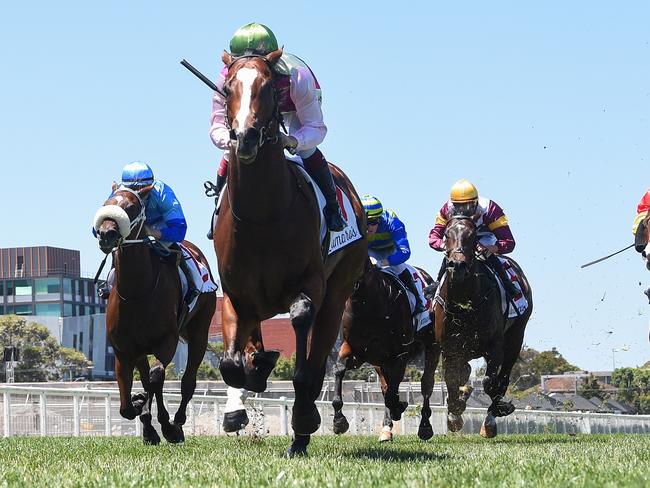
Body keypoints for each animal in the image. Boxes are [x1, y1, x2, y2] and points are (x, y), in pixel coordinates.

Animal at [93, 185, 215, 444]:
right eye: (106, 203)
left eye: (132, 207)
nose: (106, 234)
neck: (137, 291)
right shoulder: (124, 349)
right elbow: (127, 405)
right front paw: (143, 414)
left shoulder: (167, 341)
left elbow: (157, 377)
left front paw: (166, 426)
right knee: (148, 380)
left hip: (200, 332)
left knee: (187, 382)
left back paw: (176, 422)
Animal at [213, 47, 364, 456]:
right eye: (227, 88)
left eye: (267, 88)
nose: (245, 137)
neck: (262, 216)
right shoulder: (235, 293)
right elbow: (231, 363)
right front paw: (245, 393)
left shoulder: (310, 284)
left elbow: (302, 345)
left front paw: (304, 420)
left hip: (338, 294)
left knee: (318, 357)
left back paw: (305, 426)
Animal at [332, 264, 438, 442]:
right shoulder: (356, 352)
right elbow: (339, 369)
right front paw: (339, 421)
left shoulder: (400, 355)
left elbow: (391, 395)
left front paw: (399, 407)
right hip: (379, 362)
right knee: (385, 387)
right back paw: (387, 428)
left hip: (432, 345)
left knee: (426, 384)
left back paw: (425, 427)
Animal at [436, 215, 532, 436]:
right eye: (446, 234)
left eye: (473, 236)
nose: (457, 265)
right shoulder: (449, 347)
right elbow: (451, 379)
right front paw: (455, 414)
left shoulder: (495, 346)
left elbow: (490, 383)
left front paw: (498, 411)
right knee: (465, 371)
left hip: (515, 338)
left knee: (502, 379)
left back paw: (491, 418)